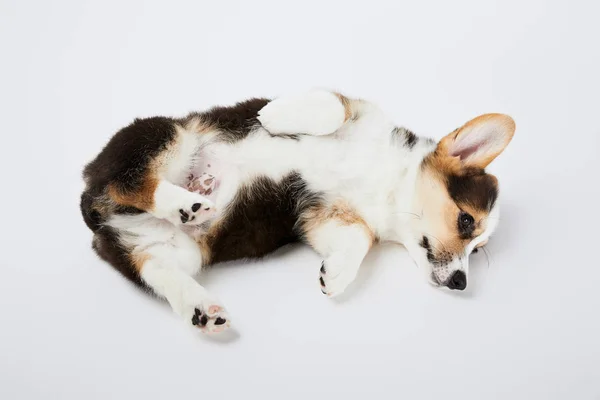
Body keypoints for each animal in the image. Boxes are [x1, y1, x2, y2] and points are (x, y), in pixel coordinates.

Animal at [79, 90, 516, 334]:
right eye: (466, 221)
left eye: (478, 250)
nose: (460, 282)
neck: (389, 184)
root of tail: (95, 207)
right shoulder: (356, 110)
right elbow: (332, 105)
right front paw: (274, 115)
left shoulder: (324, 216)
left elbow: (359, 239)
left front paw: (334, 275)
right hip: (170, 137)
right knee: (130, 181)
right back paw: (185, 202)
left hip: (176, 250)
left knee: (157, 270)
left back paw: (203, 309)